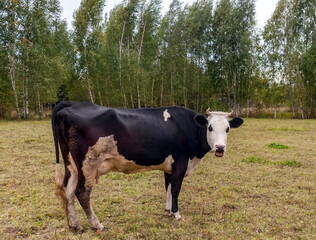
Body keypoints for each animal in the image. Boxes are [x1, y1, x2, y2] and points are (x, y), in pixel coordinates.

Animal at [52, 101, 244, 231]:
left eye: (227, 129)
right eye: (210, 127)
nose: (220, 148)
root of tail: (73, 104)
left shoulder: (170, 166)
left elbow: (168, 187)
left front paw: (168, 210)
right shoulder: (181, 163)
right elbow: (176, 189)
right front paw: (177, 214)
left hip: (72, 166)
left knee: (68, 191)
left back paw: (75, 225)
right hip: (88, 164)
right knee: (82, 193)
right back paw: (97, 224)